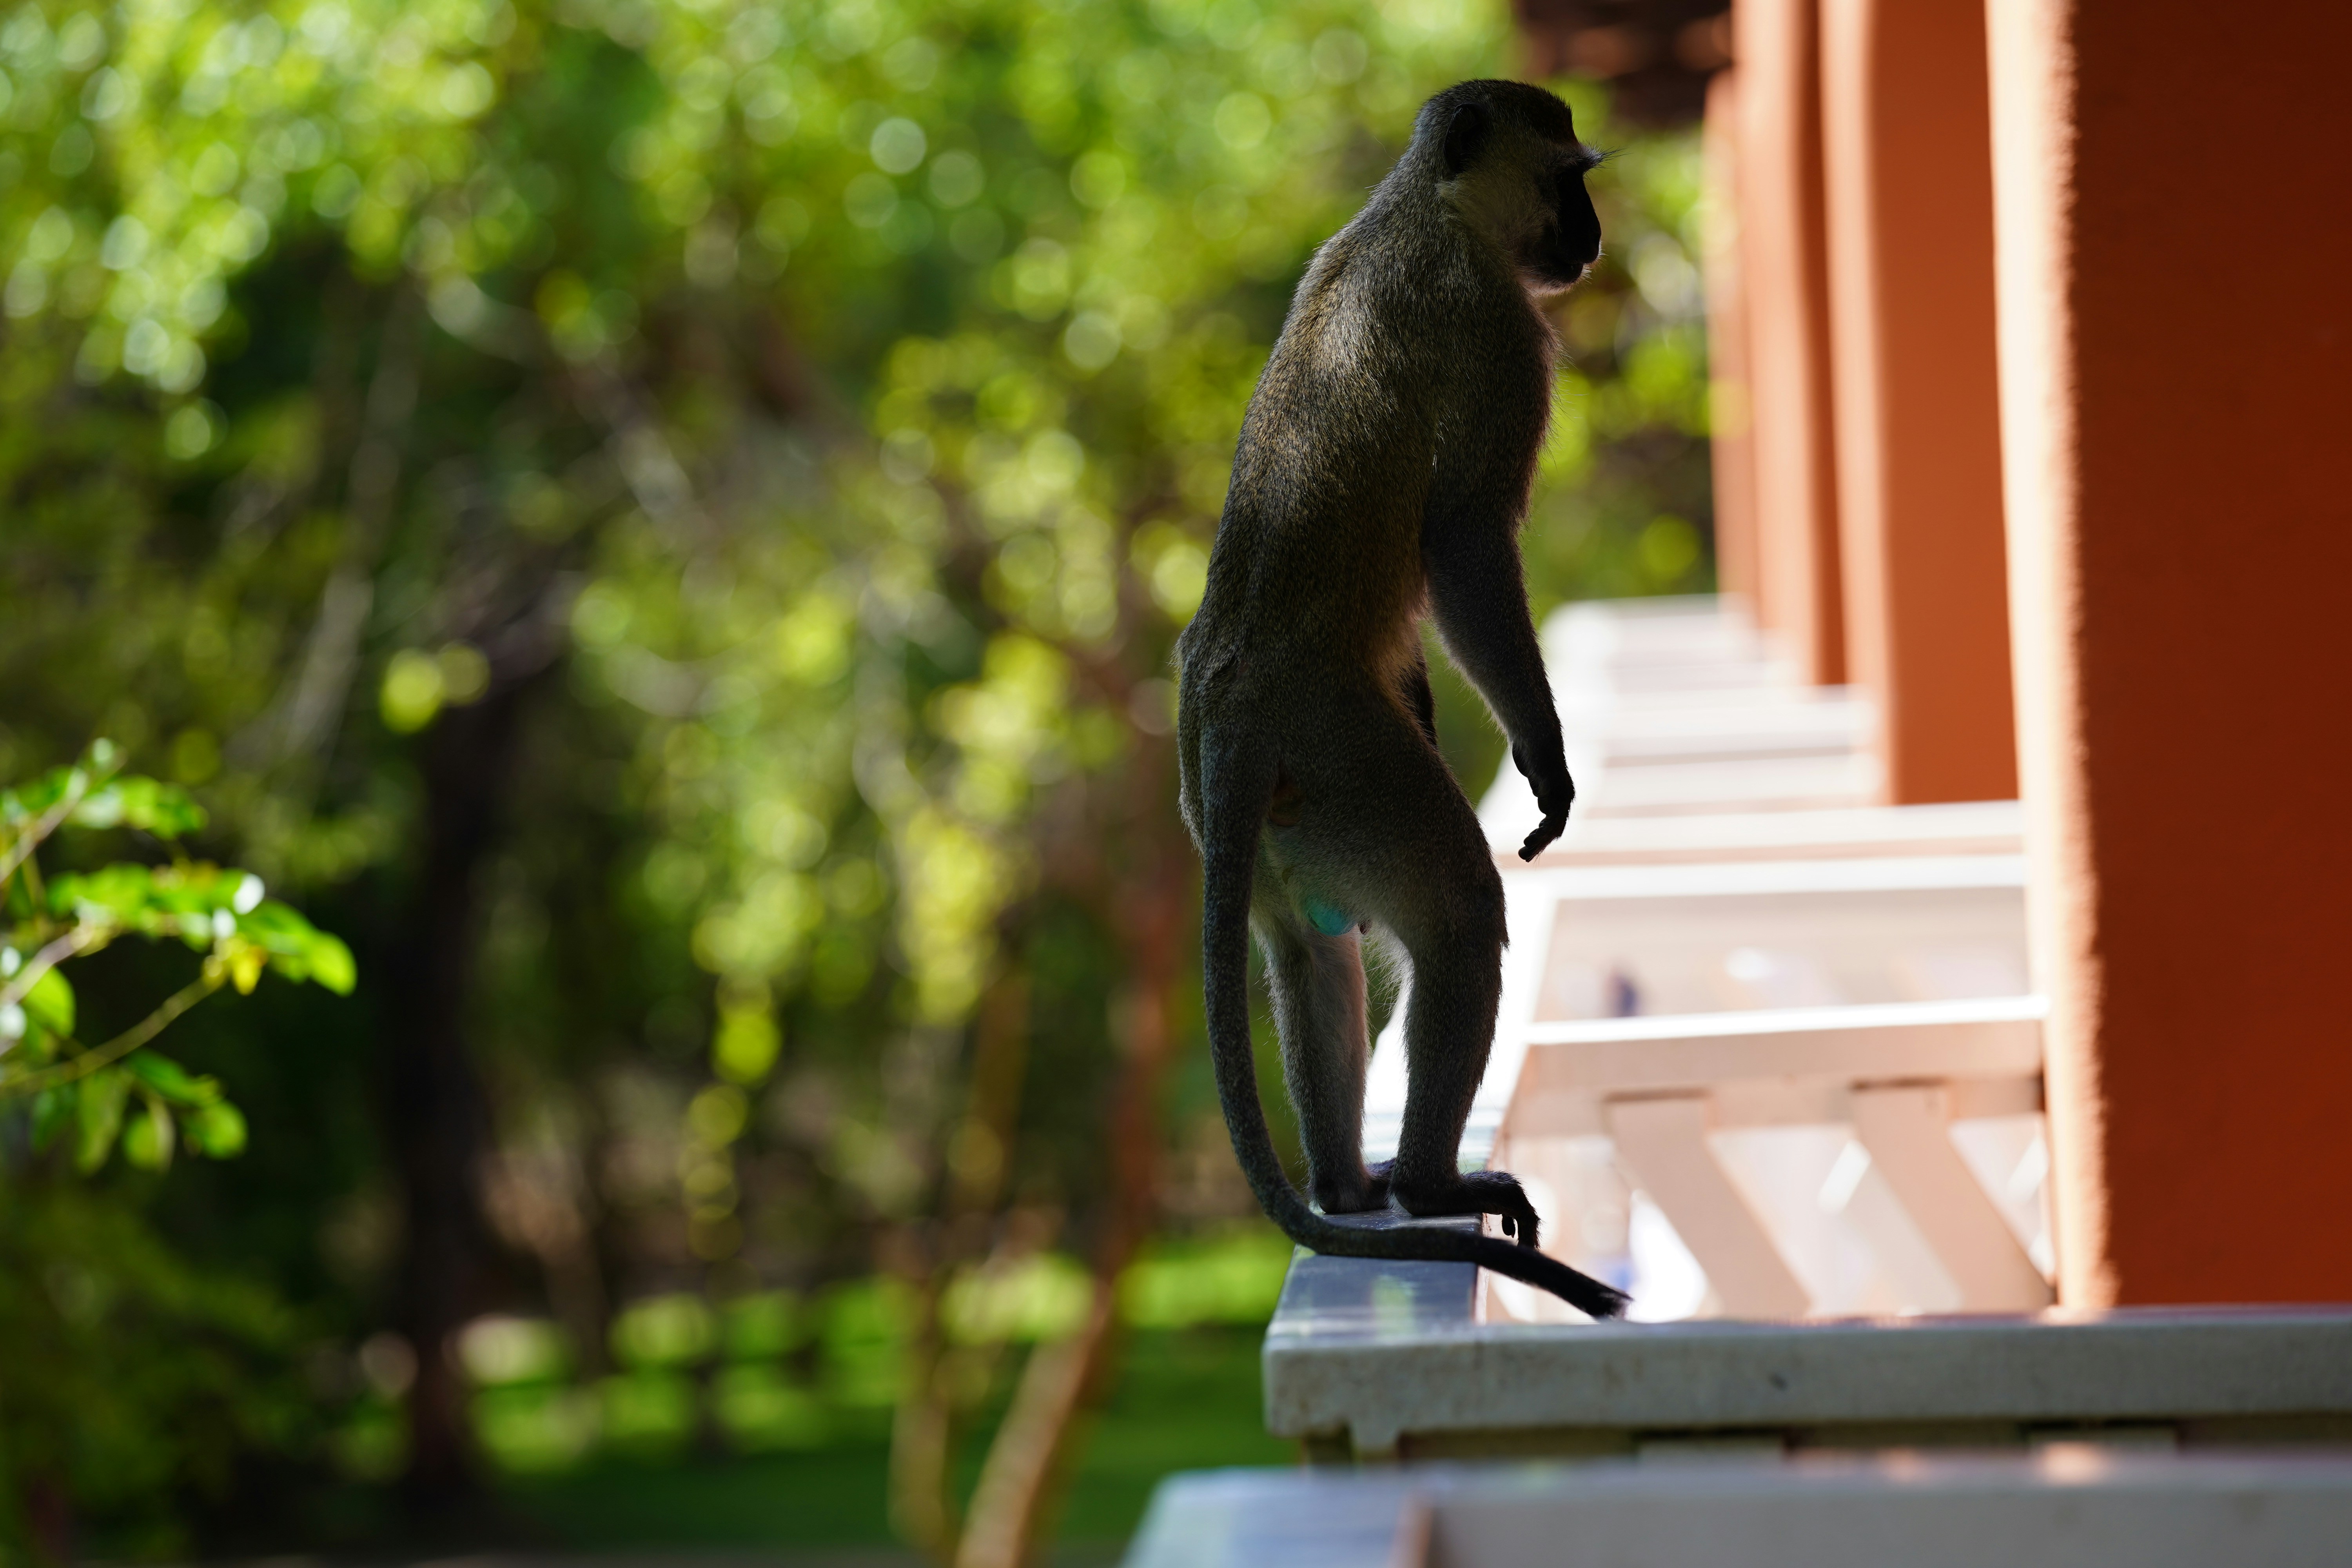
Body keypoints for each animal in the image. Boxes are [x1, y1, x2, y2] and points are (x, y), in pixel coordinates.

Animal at [1174, 81, 1630, 1319]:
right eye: (1569, 178)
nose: (1592, 238)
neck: (1421, 206)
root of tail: (1231, 697)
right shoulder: (1502, 333)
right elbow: (1463, 539)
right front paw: (1546, 756)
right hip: (1350, 764)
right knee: (1460, 914)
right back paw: (1431, 1184)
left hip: (1275, 815)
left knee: (1307, 951)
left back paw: (1347, 1184)